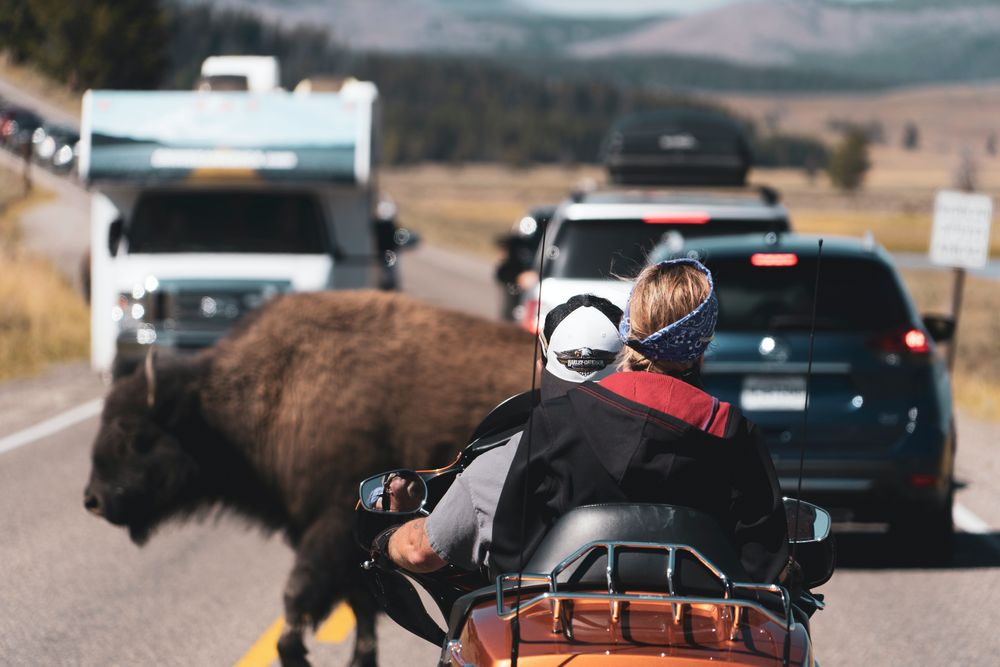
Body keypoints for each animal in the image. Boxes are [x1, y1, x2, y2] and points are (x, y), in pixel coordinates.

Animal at [85, 292, 536, 667]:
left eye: (137, 436)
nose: (93, 500)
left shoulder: (332, 525)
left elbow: (300, 594)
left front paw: (295, 653)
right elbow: (360, 604)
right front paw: (359, 660)